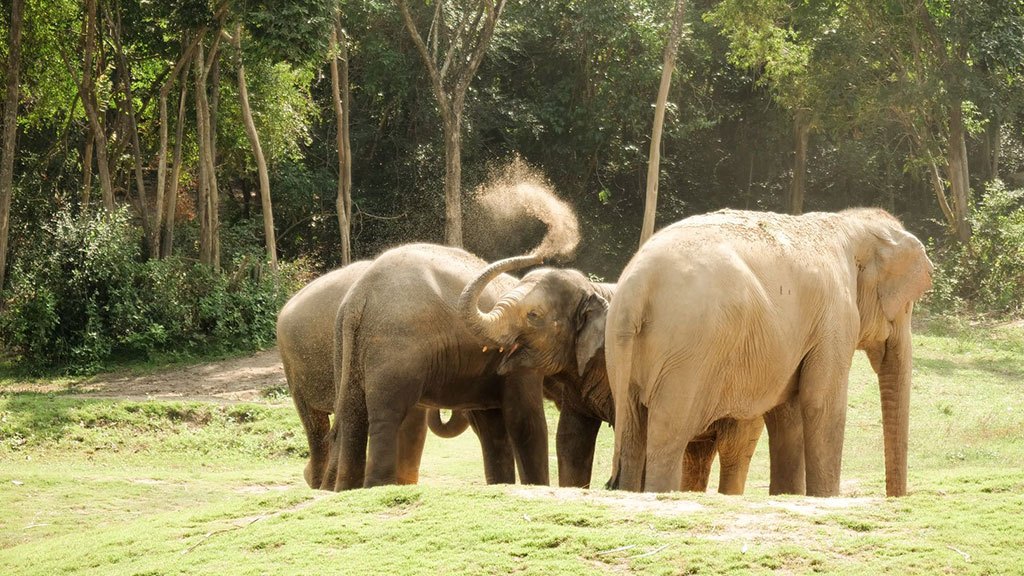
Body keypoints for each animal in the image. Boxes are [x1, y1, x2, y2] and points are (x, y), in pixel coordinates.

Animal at [328, 243, 549, 490]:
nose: (540, 255)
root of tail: (358, 297)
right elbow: (525, 420)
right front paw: (537, 486)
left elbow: (492, 426)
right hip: (394, 345)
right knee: (386, 415)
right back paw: (378, 486)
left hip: (345, 348)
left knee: (352, 416)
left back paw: (346, 489)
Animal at [605, 208, 932, 496]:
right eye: (906, 306)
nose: (895, 499)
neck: (849, 224)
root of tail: (638, 287)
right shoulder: (835, 317)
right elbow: (821, 403)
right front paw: (824, 498)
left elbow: (788, 414)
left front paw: (789, 495)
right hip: (688, 354)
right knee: (669, 436)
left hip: (623, 354)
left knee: (633, 433)